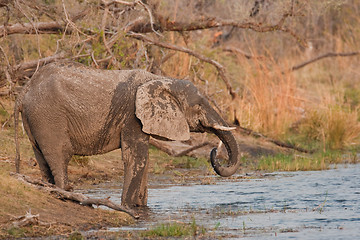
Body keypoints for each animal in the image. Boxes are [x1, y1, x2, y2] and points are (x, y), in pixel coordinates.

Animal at [14, 62, 240, 208]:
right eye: (199, 105)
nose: (214, 150)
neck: (159, 80)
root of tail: (25, 89)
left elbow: (143, 158)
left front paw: (141, 207)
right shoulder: (132, 116)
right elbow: (136, 157)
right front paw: (130, 208)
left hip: (35, 119)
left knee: (42, 158)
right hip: (48, 116)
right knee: (61, 155)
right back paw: (67, 195)